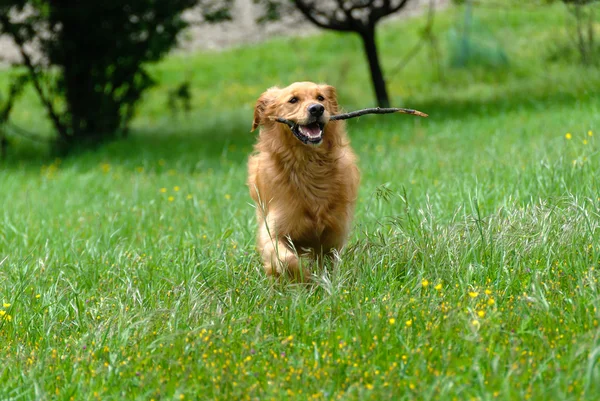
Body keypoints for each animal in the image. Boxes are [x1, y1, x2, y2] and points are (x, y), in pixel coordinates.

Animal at [248, 81, 360, 280]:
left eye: (320, 98)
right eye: (293, 100)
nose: (317, 109)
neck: (308, 165)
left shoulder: (334, 234)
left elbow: (326, 264)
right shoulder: (272, 230)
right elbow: (286, 259)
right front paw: (305, 279)